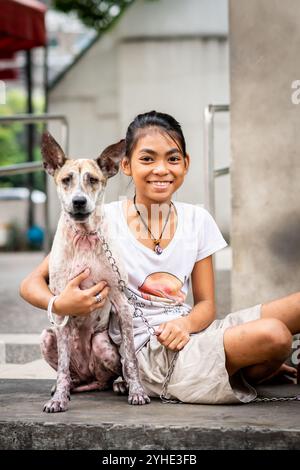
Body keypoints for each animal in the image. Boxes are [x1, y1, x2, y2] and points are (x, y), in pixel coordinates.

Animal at [40, 131, 150, 412]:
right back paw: (63, 388)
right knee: (70, 373)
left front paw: (136, 391)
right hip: (48, 337)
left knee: (110, 373)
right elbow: (62, 368)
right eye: (66, 179)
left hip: (103, 344)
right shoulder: (61, 305)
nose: (79, 202)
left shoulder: (122, 303)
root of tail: (90, 376)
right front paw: (58, 399)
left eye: (93, 179)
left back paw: (118, 384)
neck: (84, 236)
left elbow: (130, 358)